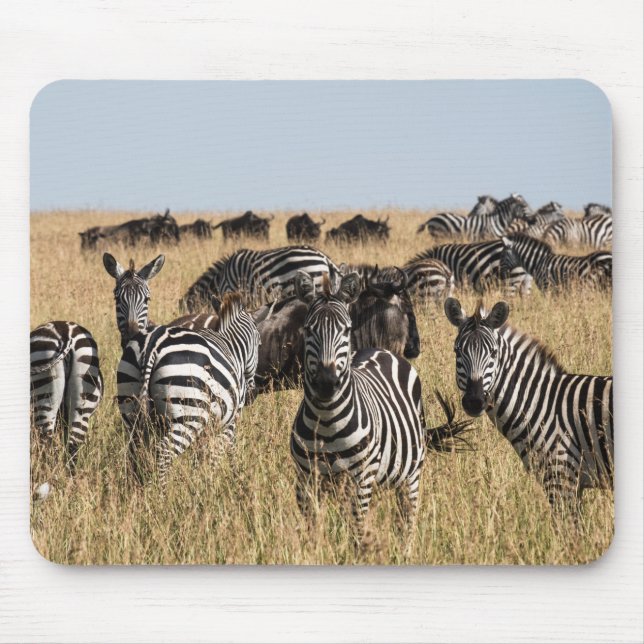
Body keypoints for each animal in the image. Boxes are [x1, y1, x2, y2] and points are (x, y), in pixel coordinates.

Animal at [116, 292, 261, 487]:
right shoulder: (229, 421)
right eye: (259, 343)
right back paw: (162, 493)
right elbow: (219, 453)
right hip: (189, 414)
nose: (252, 394)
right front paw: (214, 482)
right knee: (164, 453)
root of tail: (152, 343)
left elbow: (200, 457)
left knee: (134, 454)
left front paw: (198, 481)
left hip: (131, 410)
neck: (231, 346)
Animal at [290, 271, 471, 544]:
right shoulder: (306, 481)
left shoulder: (361, 478)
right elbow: (313, 534)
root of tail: (381, 351)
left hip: (410, 476)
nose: (326, 383)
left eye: (347, 329)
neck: (326, 420)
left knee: (406, 522)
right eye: (309, 329)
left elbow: (357, 532)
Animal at [444, 298, 613, 514]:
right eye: (457, 351)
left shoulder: (561, 477)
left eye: (493, 353)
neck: (541, 403)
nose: (474, 401)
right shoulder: (571, 483)